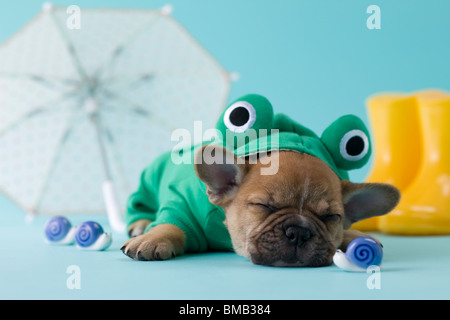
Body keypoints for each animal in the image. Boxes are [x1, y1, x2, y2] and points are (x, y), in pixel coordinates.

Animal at [121, 146, 400, 266]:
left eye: (331, 217)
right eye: (262, 205)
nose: (299, 232)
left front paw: (353, 234)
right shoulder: (184, 206)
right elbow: (173, 224)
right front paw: (155, 238)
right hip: (148, 183)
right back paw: (141, 226)